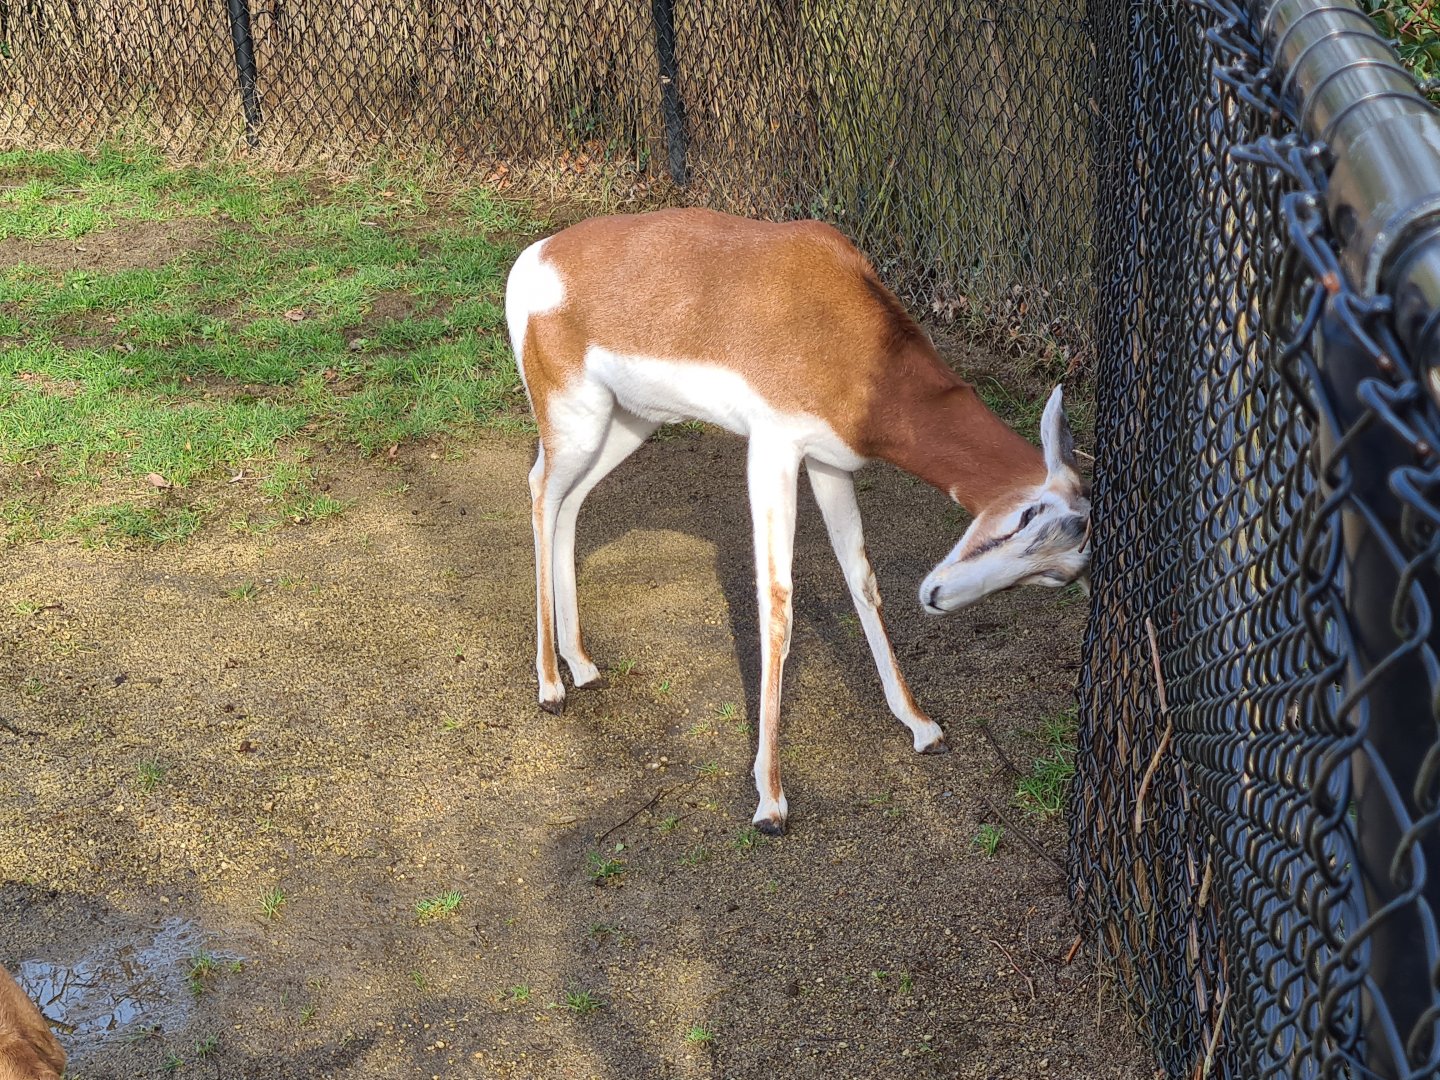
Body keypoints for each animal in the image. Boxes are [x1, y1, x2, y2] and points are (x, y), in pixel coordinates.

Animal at [506, 208, 1091, 834]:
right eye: (1027, 514)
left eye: (1057, 577)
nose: (936, 598)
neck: (849, 337)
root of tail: (535, 258)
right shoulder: (772, 452)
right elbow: (778, 605)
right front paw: (770, 799)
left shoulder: (830, 462)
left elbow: (862, 579)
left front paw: (920, 725)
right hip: (577, 422)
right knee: (540, 491)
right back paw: (550, 686)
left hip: (630, 423)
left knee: (569, 503)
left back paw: (581, 664)